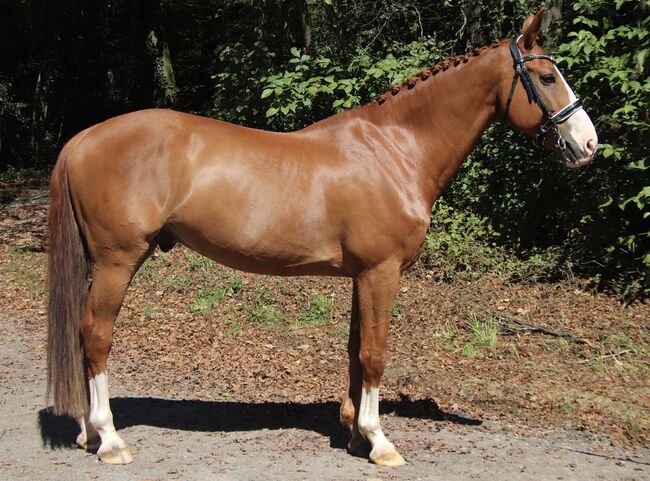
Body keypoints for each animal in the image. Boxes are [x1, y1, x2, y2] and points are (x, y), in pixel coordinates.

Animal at [45, 10, 596, 464]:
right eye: (547, 77)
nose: (588, 143)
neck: (395, 149)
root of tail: (85, 137)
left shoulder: (362, 276)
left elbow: (355, 350)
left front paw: (354, 435)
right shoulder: (381, 273)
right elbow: (375, 354)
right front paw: (380, 442)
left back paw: (88, 434)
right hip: (118, 261)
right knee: (96, 334)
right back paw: (109, 439)